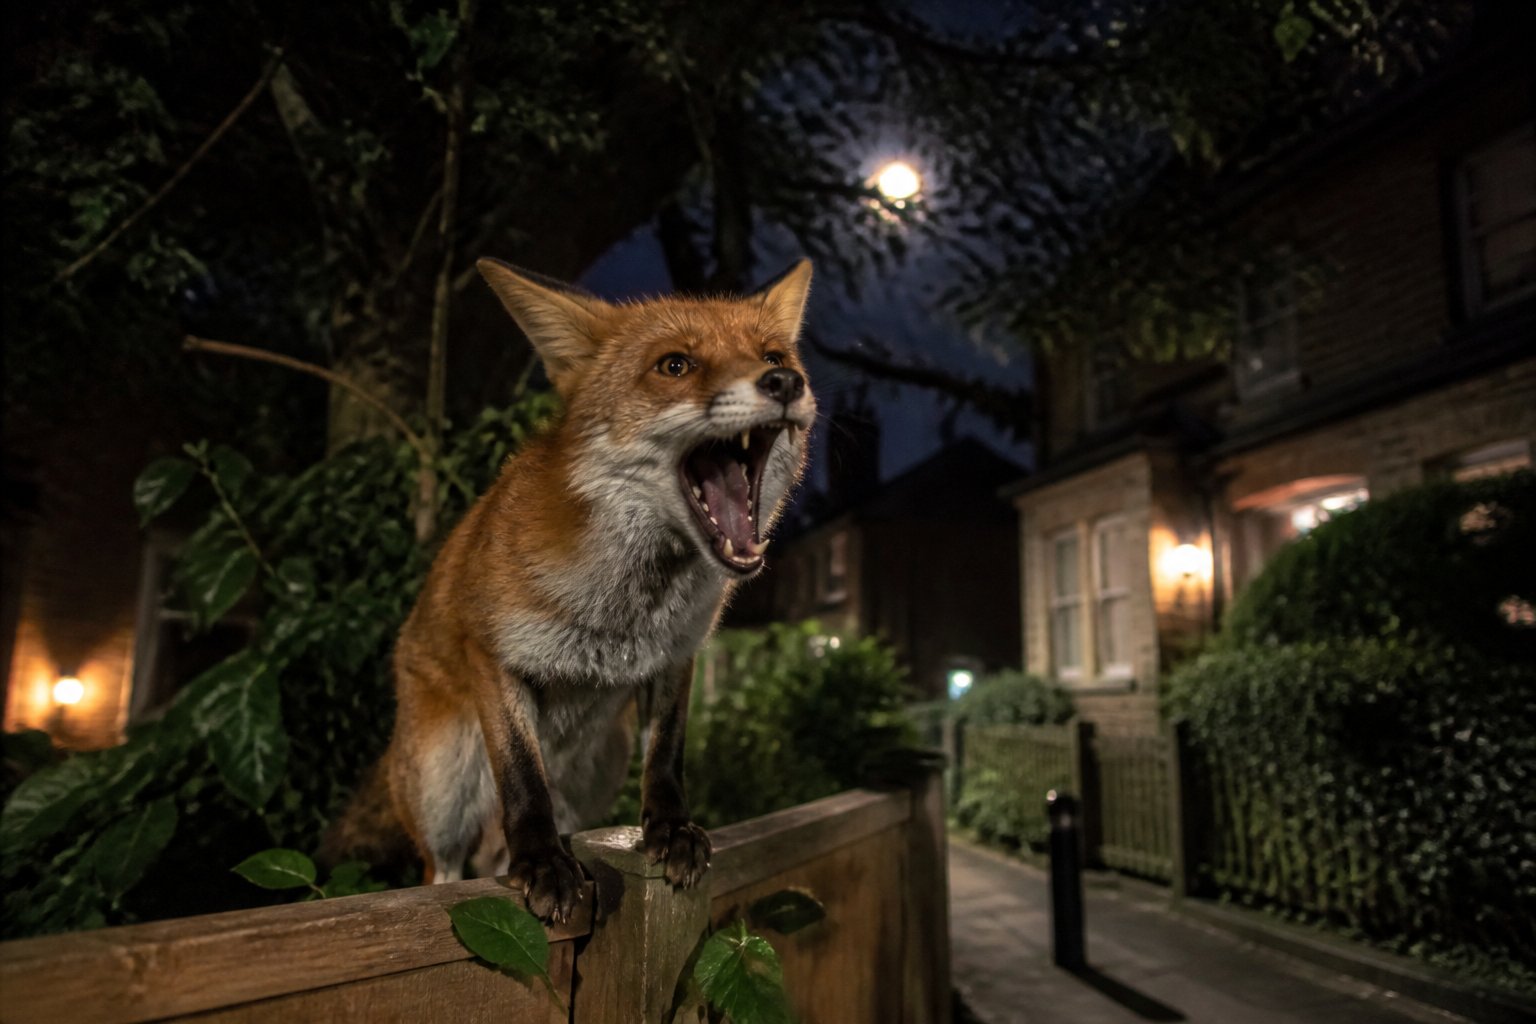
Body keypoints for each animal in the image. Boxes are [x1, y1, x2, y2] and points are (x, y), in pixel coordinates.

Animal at [327, 258, 816, 922]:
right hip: (441, 788)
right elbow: (521, 779)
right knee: (445, 870)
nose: (785, 380)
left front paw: (670, 831)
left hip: (591, 777)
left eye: (771, 353)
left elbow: (666, 758)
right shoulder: (493, 654)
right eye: (675, 365)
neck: (627, 609)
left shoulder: (676, 657)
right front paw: (542, 865)